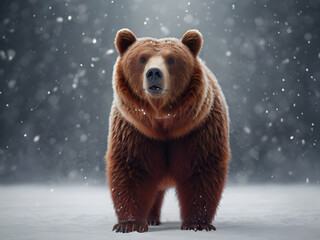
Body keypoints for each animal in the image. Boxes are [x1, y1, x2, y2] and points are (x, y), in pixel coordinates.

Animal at [107, 28, 230, 232]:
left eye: (171, 59)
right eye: (142, 58)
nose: (154, 73)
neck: (162, 121)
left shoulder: (198, 130)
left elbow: (202, 170)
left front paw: (197, 223)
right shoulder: (135, 131)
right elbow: (131, 169)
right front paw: (129, 224)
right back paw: (151, 218)